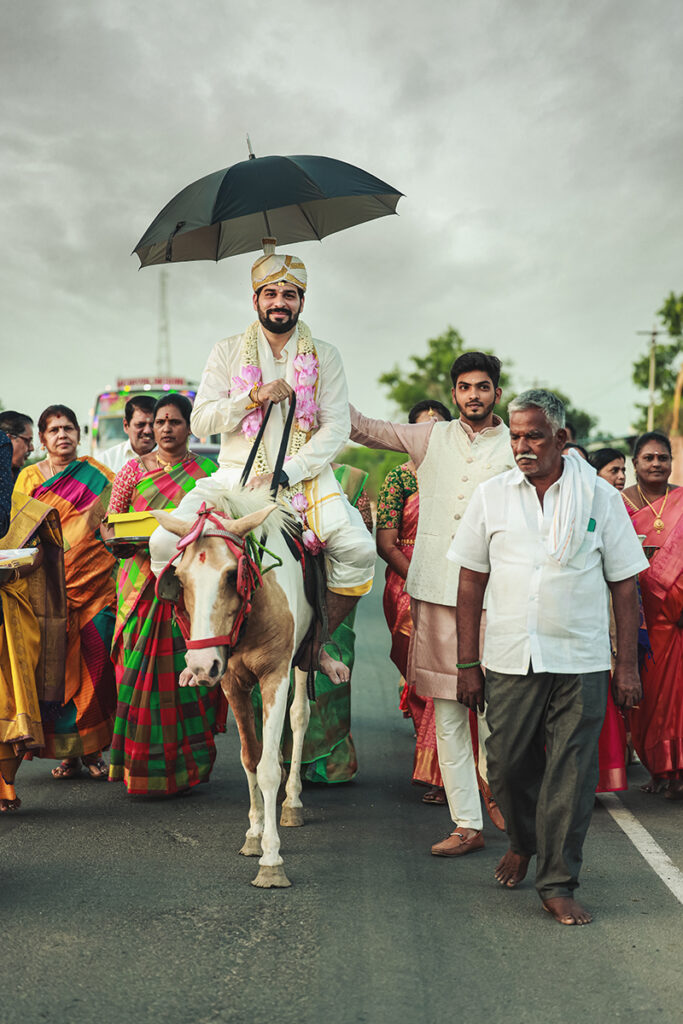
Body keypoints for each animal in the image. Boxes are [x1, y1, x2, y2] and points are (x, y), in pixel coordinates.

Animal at [153, 489, 313, 888]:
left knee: (300, 715)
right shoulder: (231, 681)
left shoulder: (275, 674)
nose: (199, 665)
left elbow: (269, 765)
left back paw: (292, 801)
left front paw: (271, 858)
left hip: (303, 658)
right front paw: (254, 834)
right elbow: (250, 757)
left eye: (230, 576)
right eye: (179, 579)